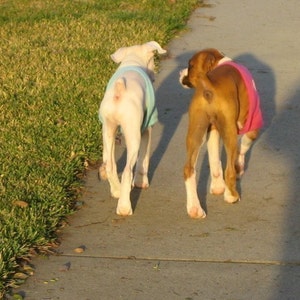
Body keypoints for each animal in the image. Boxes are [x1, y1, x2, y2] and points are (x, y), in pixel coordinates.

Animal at [98, 41, 166, 216]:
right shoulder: (146, 128)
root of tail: (119, 90)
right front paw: (141, 182)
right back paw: (124, 207)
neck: (132, 62)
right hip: (133, 135)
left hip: (108, 129)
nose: (154, 75)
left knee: (110, 164)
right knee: (127, 170)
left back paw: (116, 191)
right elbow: (144, 157)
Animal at [179, 48, 264, 218]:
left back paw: (195, 209)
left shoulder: (213, 128)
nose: (181, 73)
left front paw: (217, 186)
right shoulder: (253, 123)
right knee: (229, 169)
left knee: (189, 169)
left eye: (190, 66)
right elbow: (244, 145)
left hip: (196, 130)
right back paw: (231, 196)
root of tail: (209, 85)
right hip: (229, 131)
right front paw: (239, 166)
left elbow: (214, 158)